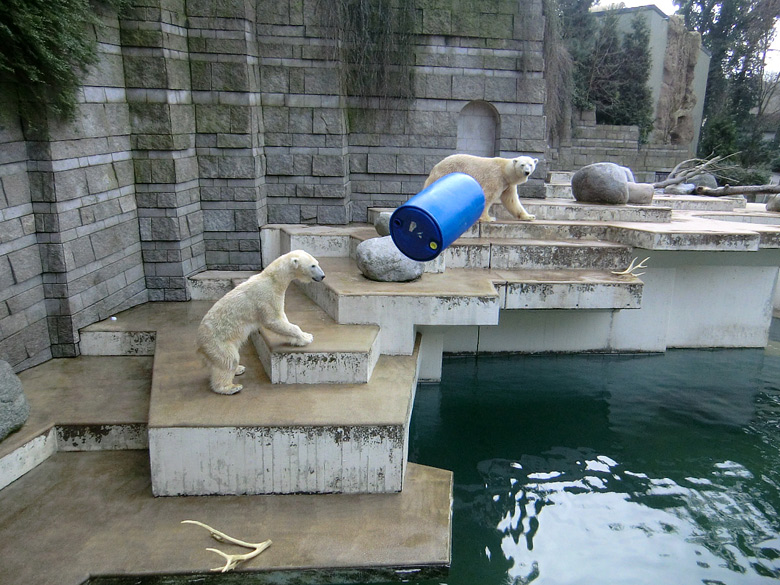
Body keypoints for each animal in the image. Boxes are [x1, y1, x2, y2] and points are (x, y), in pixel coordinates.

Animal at [200, 249, 328, 394]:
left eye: (317, 263)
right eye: (313, 265)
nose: (323, 276)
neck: (273, 279)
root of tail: (199, 342)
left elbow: (282, 318)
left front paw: (301, 338)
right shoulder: (266, 297)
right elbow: (272, 321)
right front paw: (307, 338)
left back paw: (239, 369)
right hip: (217, 341)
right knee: (229, 359)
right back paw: (231, 387)